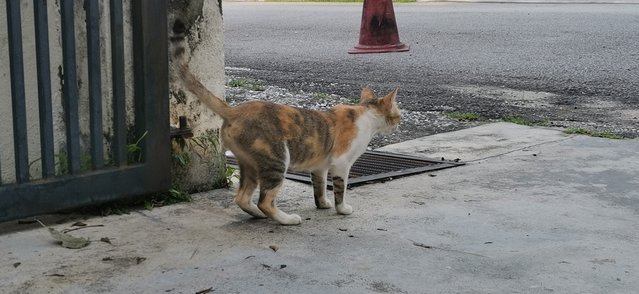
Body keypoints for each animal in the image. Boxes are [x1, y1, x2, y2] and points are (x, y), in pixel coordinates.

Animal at [172, 45, 398, 225]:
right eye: (398, 113)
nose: (399, 121)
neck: (365, 114)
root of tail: (235, 110)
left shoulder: (319, 166)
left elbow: (319, 187)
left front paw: (323, 204)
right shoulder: (341, 163)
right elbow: (339, 189)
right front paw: (342, 209)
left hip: (249, 164)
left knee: (242, 198)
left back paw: (257, 214)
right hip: (276, 159)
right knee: (265, 201)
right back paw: (287, 219)